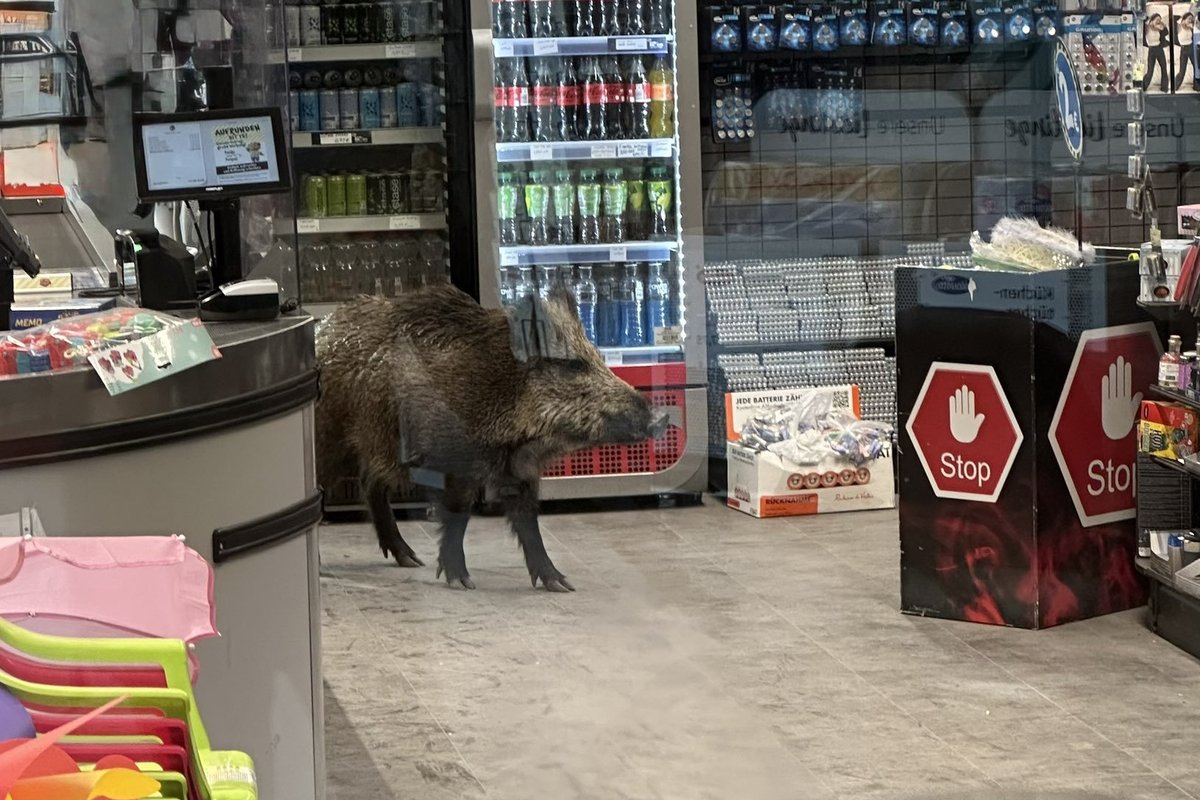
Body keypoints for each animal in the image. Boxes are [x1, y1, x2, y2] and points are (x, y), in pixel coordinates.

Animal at [315, 283, 665, 592]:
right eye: (572, 365)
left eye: (600, 359)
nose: (661, 416)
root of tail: (322, 331)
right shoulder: (454, 462)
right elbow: (459, 515)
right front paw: (461, 582)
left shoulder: (519, 471)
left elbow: (528, 523)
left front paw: (561, 584)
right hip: (332, 441)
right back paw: (321, 567)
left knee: (370, 484)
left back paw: (410, 559)